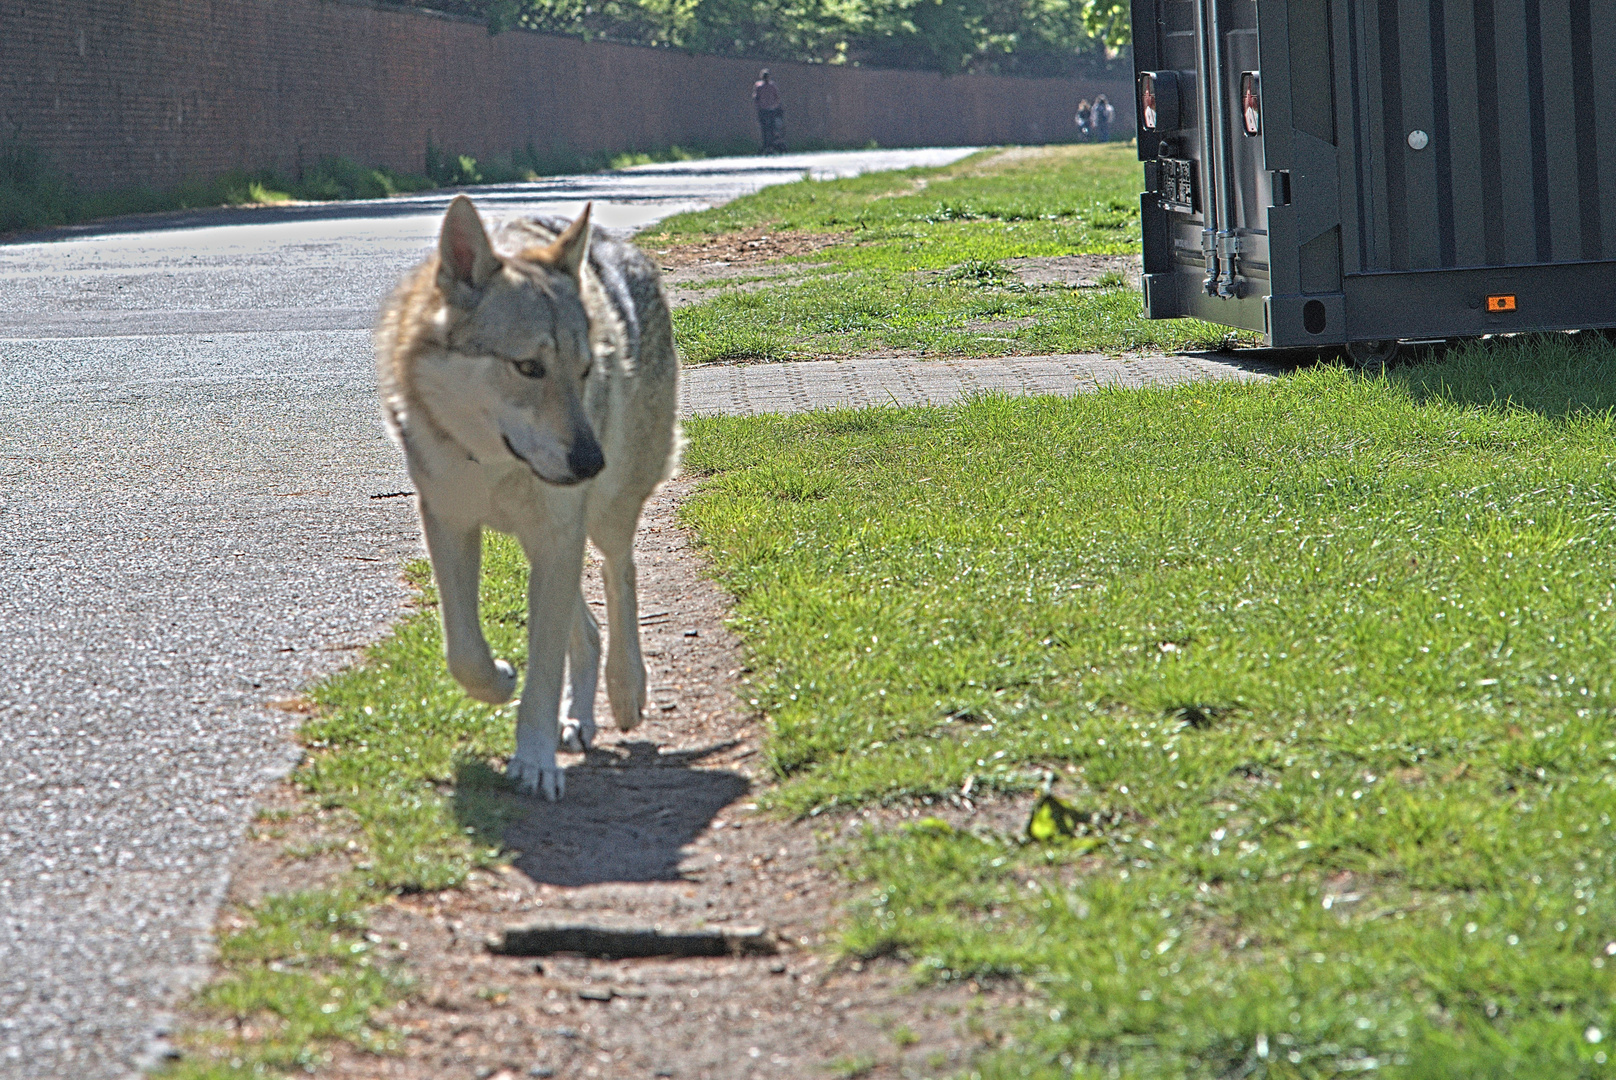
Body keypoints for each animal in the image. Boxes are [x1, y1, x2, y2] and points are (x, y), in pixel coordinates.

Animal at [374, 198, 678, 798]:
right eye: (528, 368)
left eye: (585, 370)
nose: (591, 463)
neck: (494, 465)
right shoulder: (449, 524)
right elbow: (464, 653)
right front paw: (499, 682)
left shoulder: (558, 535)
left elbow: (543, 671)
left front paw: (535, 761)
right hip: (546, 540)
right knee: (586, 628)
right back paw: (580, 719)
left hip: (603, 519)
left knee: (619, 575)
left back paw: (626, 689)